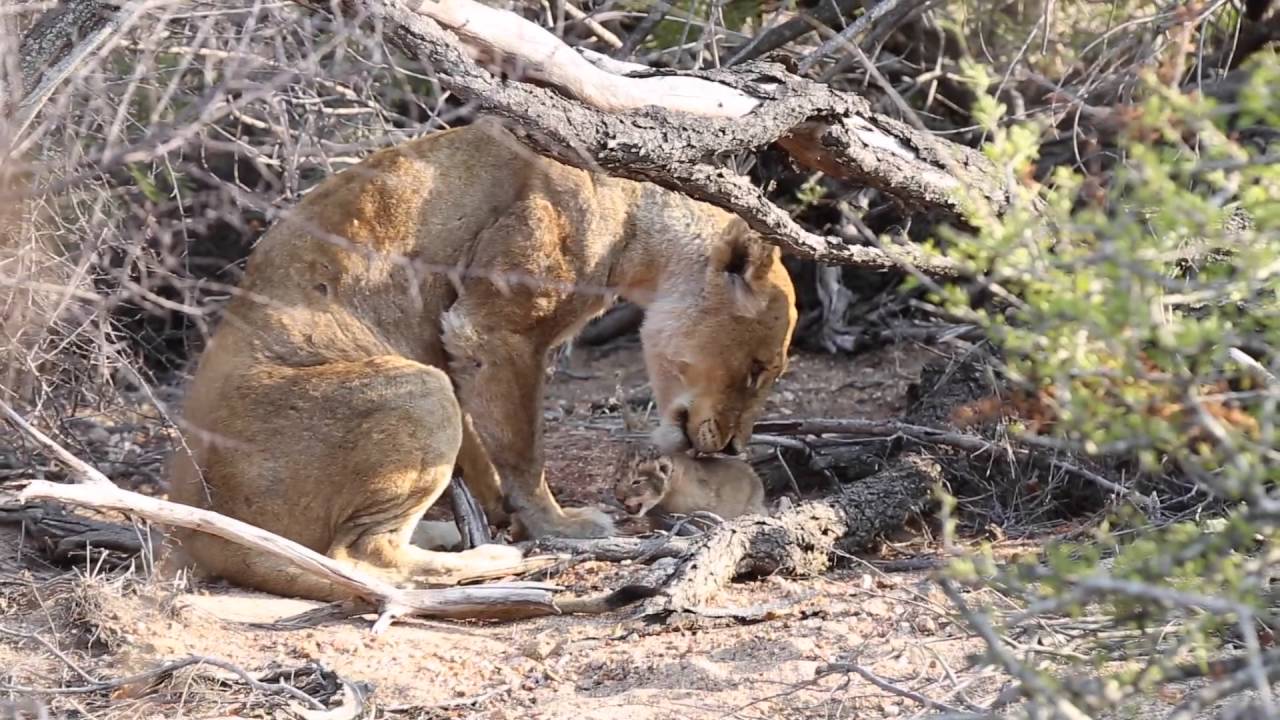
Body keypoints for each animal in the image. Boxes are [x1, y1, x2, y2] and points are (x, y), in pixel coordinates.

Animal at [164, 120, 796, 601]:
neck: (636, 221)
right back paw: (492, 561)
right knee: (361, 555)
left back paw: (452, 533)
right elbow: (522, 448)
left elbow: (481, 445)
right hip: (417, 391)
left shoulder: (454, 344)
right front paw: (559, 527)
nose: (735, 448)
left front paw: (501, 509)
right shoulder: (496, 329)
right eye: (758, 369)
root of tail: (195, 524)